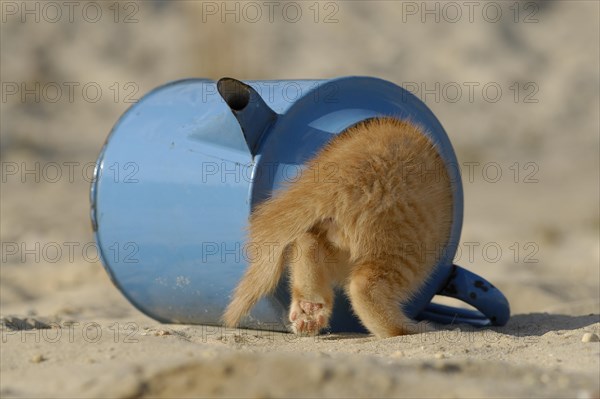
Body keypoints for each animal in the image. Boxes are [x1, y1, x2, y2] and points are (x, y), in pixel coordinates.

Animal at [223, 117, 452, 340]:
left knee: (307, 241)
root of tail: (340, 180)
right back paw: (409, 329)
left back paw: (309, 309)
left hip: (338, 240)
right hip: (410, 244)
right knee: (362, 286)